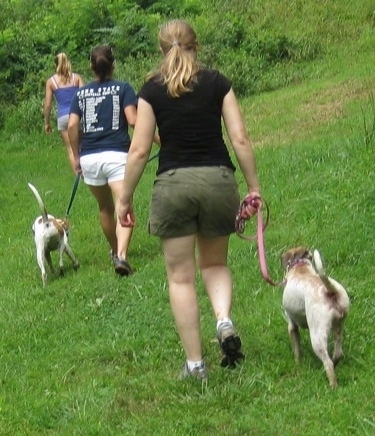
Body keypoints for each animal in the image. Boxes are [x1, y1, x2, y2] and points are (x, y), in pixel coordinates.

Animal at [284, 245, 352, 388]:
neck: (301, 267)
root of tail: (330, 291)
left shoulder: (291, 325)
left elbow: (297, 348)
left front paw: (298, 363)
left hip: (316, 335)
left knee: (328, 362)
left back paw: (333, 386)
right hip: (339, 325)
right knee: (338, 354)